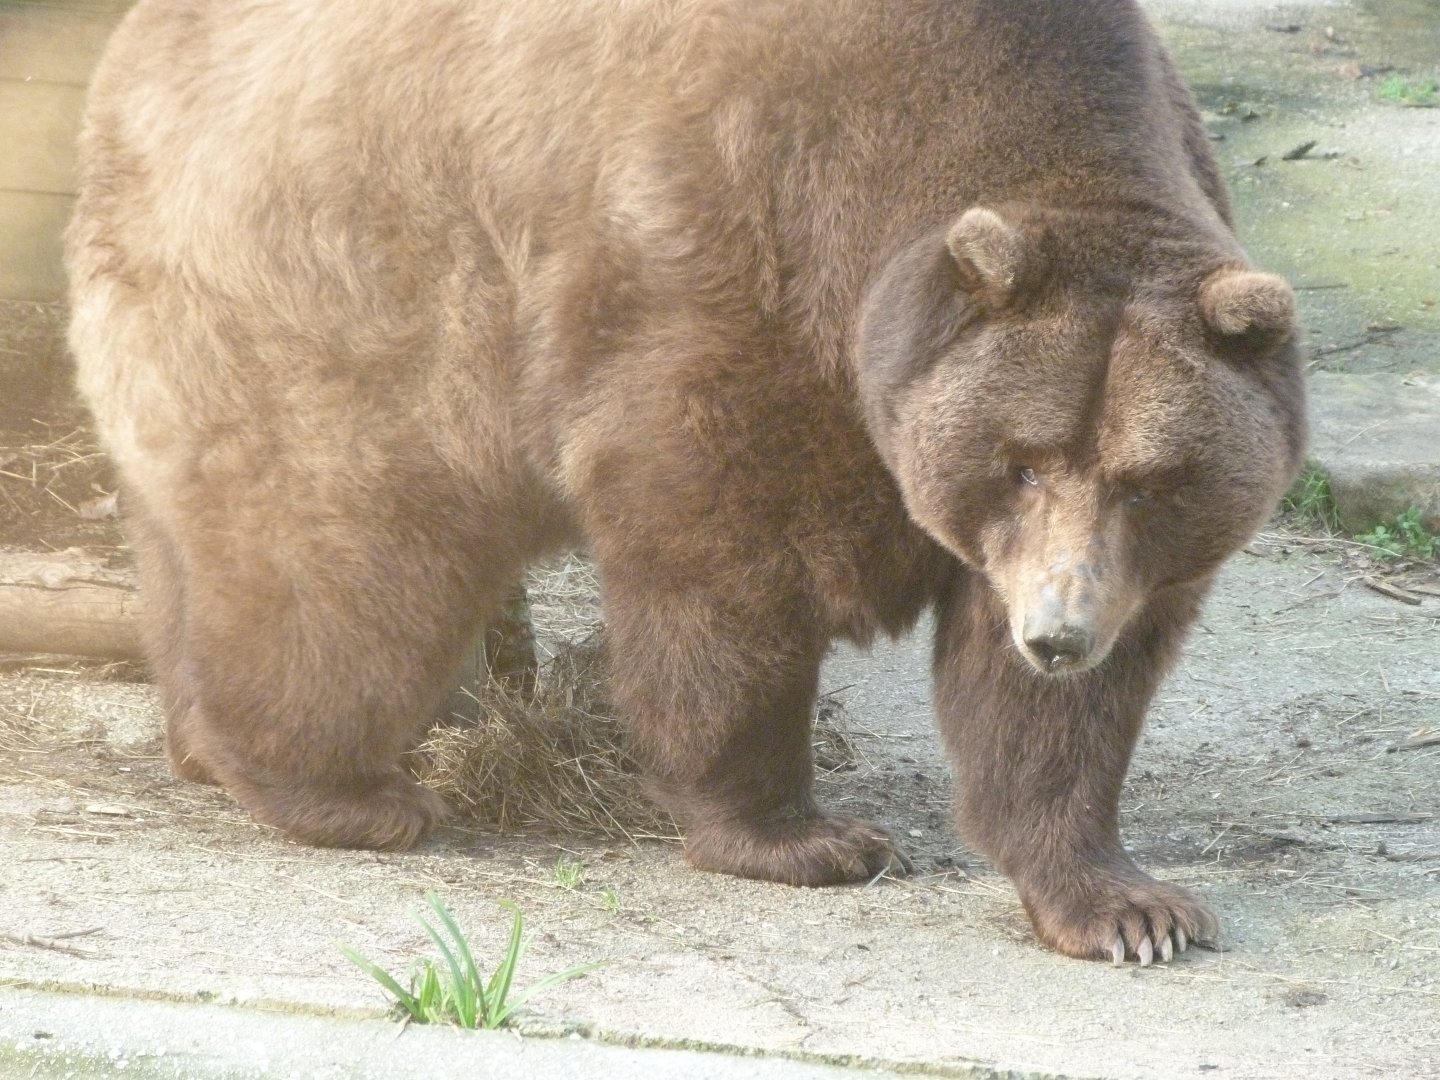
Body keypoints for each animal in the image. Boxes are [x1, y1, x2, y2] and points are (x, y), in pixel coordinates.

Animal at [66, 0, 1306, 965]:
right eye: (1024, 458)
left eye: (1151, 478)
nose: (1057, 632)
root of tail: (128, 62)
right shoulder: (733, 274)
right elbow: (728, 570)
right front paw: (804, 837)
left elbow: (1061, 710)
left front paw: (1127, 905)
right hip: (343, 284)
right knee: (349, 555)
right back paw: (343, 790)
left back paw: (204, 742)